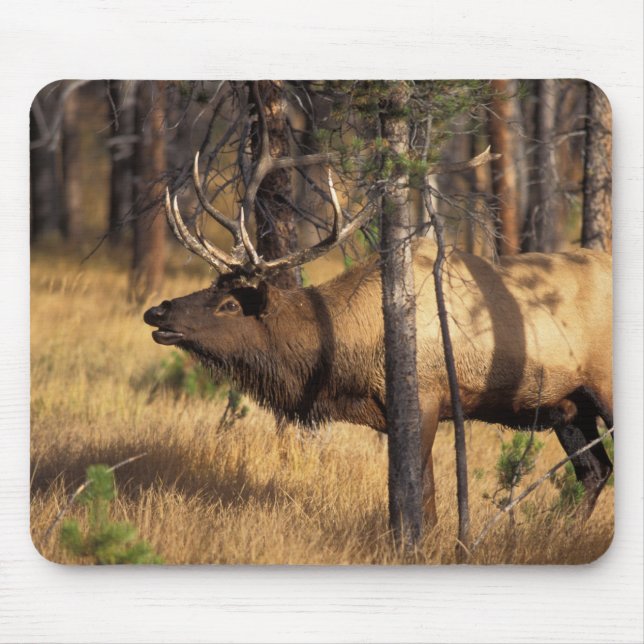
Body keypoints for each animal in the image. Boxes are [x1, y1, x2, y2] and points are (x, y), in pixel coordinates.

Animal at [144, 154, 613, 528]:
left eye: (228, 304)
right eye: (209, 286)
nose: (158, 312)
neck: (344, 362)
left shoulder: (425, 397)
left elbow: (417, 492)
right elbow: (413, 491)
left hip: (603, 388)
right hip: (568, 406)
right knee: (595, 471)